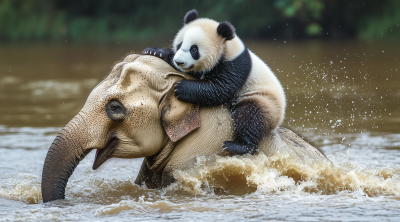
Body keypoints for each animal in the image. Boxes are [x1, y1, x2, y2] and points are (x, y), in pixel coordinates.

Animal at [142, 9, 286, 155]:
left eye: (194, 49)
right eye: (180, 44)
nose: (179, 62)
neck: (226, 47)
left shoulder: (235, 65)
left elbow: (221, 87)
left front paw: (181, 88)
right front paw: (155, 52)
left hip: (264, 100)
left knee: (251, 117)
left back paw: (238, 146)